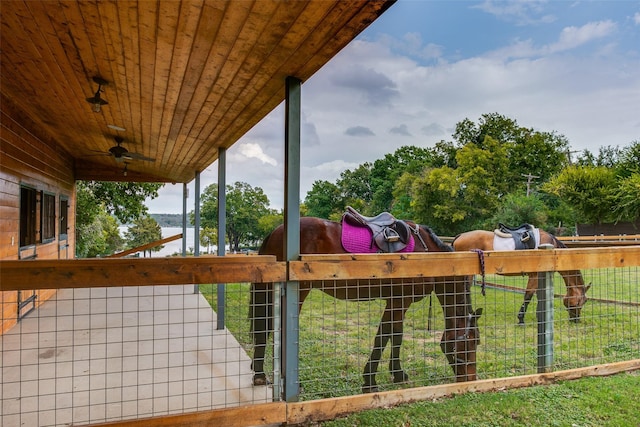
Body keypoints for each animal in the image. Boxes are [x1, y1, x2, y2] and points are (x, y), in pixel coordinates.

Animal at [250, 217, 480, 394]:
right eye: (470, 343)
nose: (471, 379)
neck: (427, 254)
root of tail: (276, 230)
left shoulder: (398, 302)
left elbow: (395, 336)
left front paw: (397, 373)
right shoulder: (399, 301)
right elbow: (384, 337)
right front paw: (370, 381)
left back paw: (259, 373)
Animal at [450, 231, 592, 324]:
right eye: (582, 301)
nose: (576, 319)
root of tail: (460, 236)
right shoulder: (534, 276)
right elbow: (528, 296)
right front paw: (521, 318)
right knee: (465, 290)